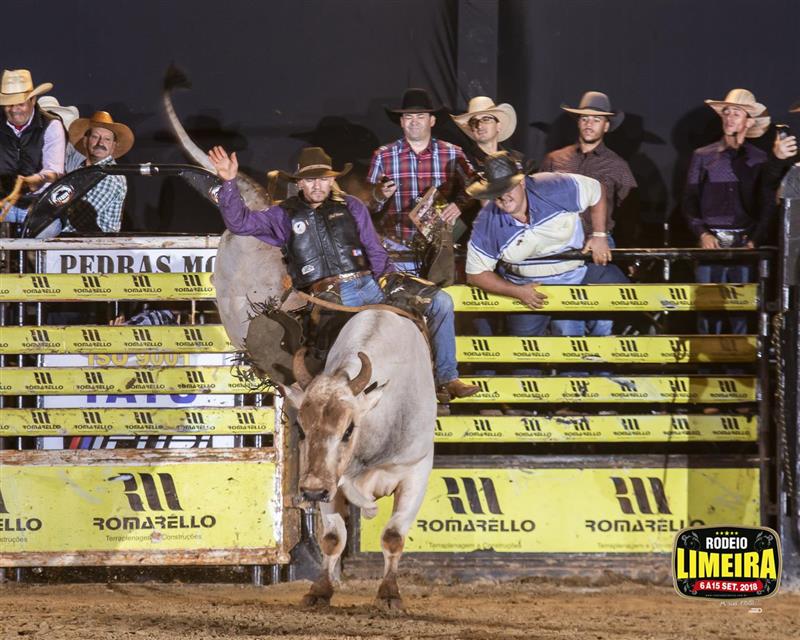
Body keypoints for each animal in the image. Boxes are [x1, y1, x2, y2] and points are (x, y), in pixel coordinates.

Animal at [281, 308, 436, 610]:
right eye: (301, 429)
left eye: (349, 429)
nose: (311, 491)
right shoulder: (330, 483)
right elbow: (332, 538)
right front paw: (319, 590)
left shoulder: (417, 472)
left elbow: (393, 536)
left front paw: (389, 593)